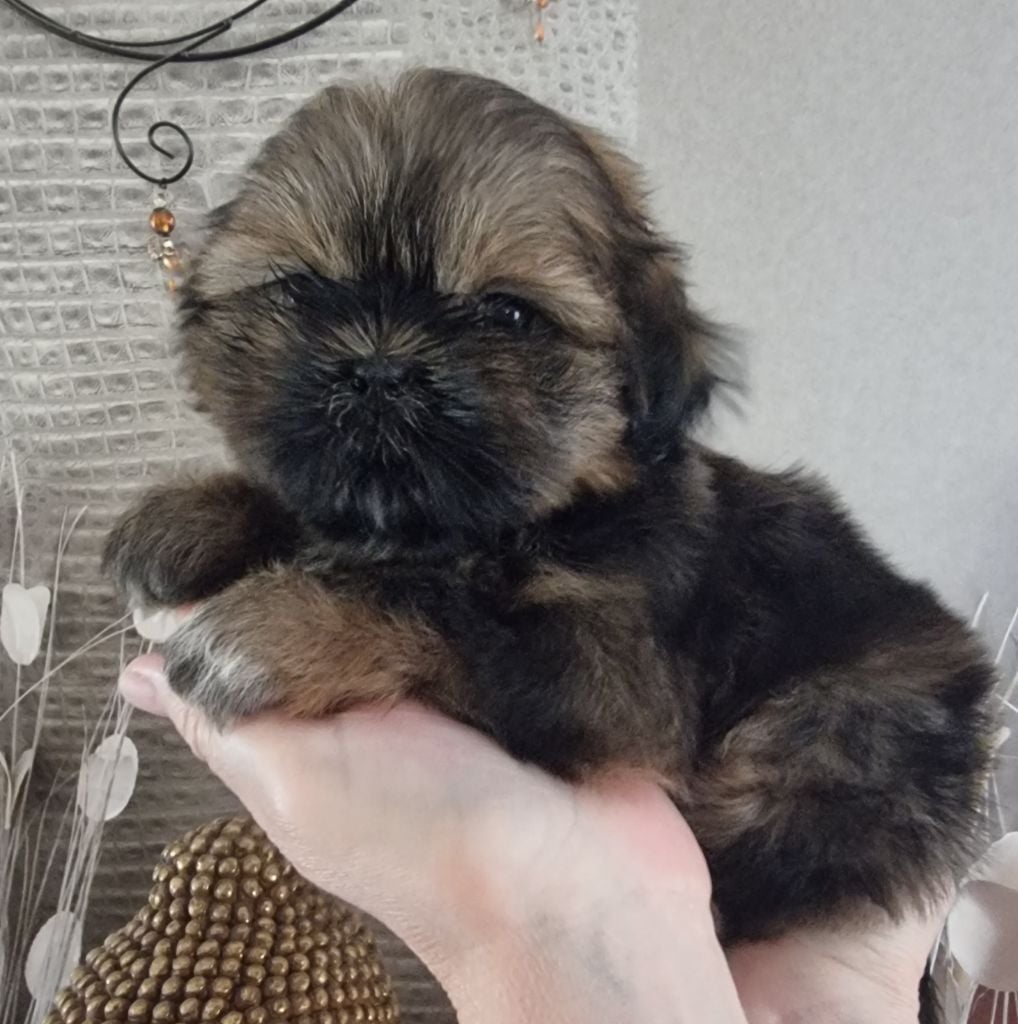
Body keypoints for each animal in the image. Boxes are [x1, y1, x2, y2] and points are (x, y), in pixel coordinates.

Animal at [105, 69, 994, 950]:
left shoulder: (619, 669)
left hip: (837, 723)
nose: (378, 369)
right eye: (301, 289)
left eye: (509, 313)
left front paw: (282, 626)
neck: (533, 515)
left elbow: (437, 598)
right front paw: (198, 515)